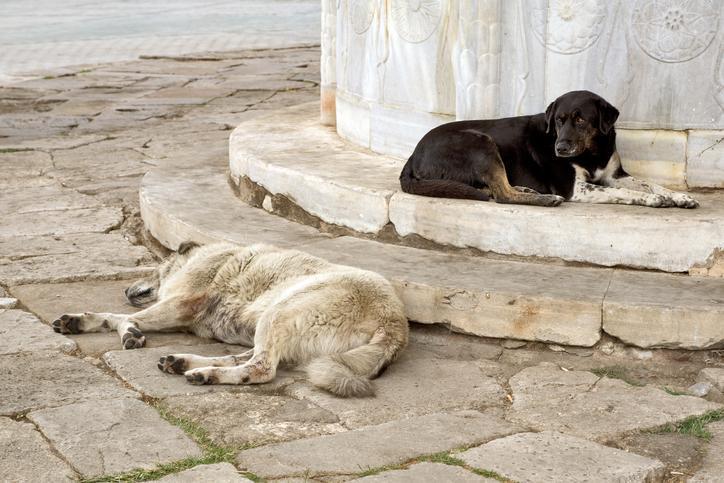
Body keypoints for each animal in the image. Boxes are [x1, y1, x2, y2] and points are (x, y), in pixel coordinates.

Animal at [398, 90, 700, 209]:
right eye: (558, 120)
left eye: (581, 119)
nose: (560, 147)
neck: (593, 151)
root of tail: (412, 156)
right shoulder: (576, 189)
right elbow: (627, 193)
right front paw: (654, 200)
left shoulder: (615, 176)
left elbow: (651, 184)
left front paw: (679, 197)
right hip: (481, 142)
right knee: (502, 195)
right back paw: (546, 199)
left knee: (497, 189)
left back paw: (528, 190)